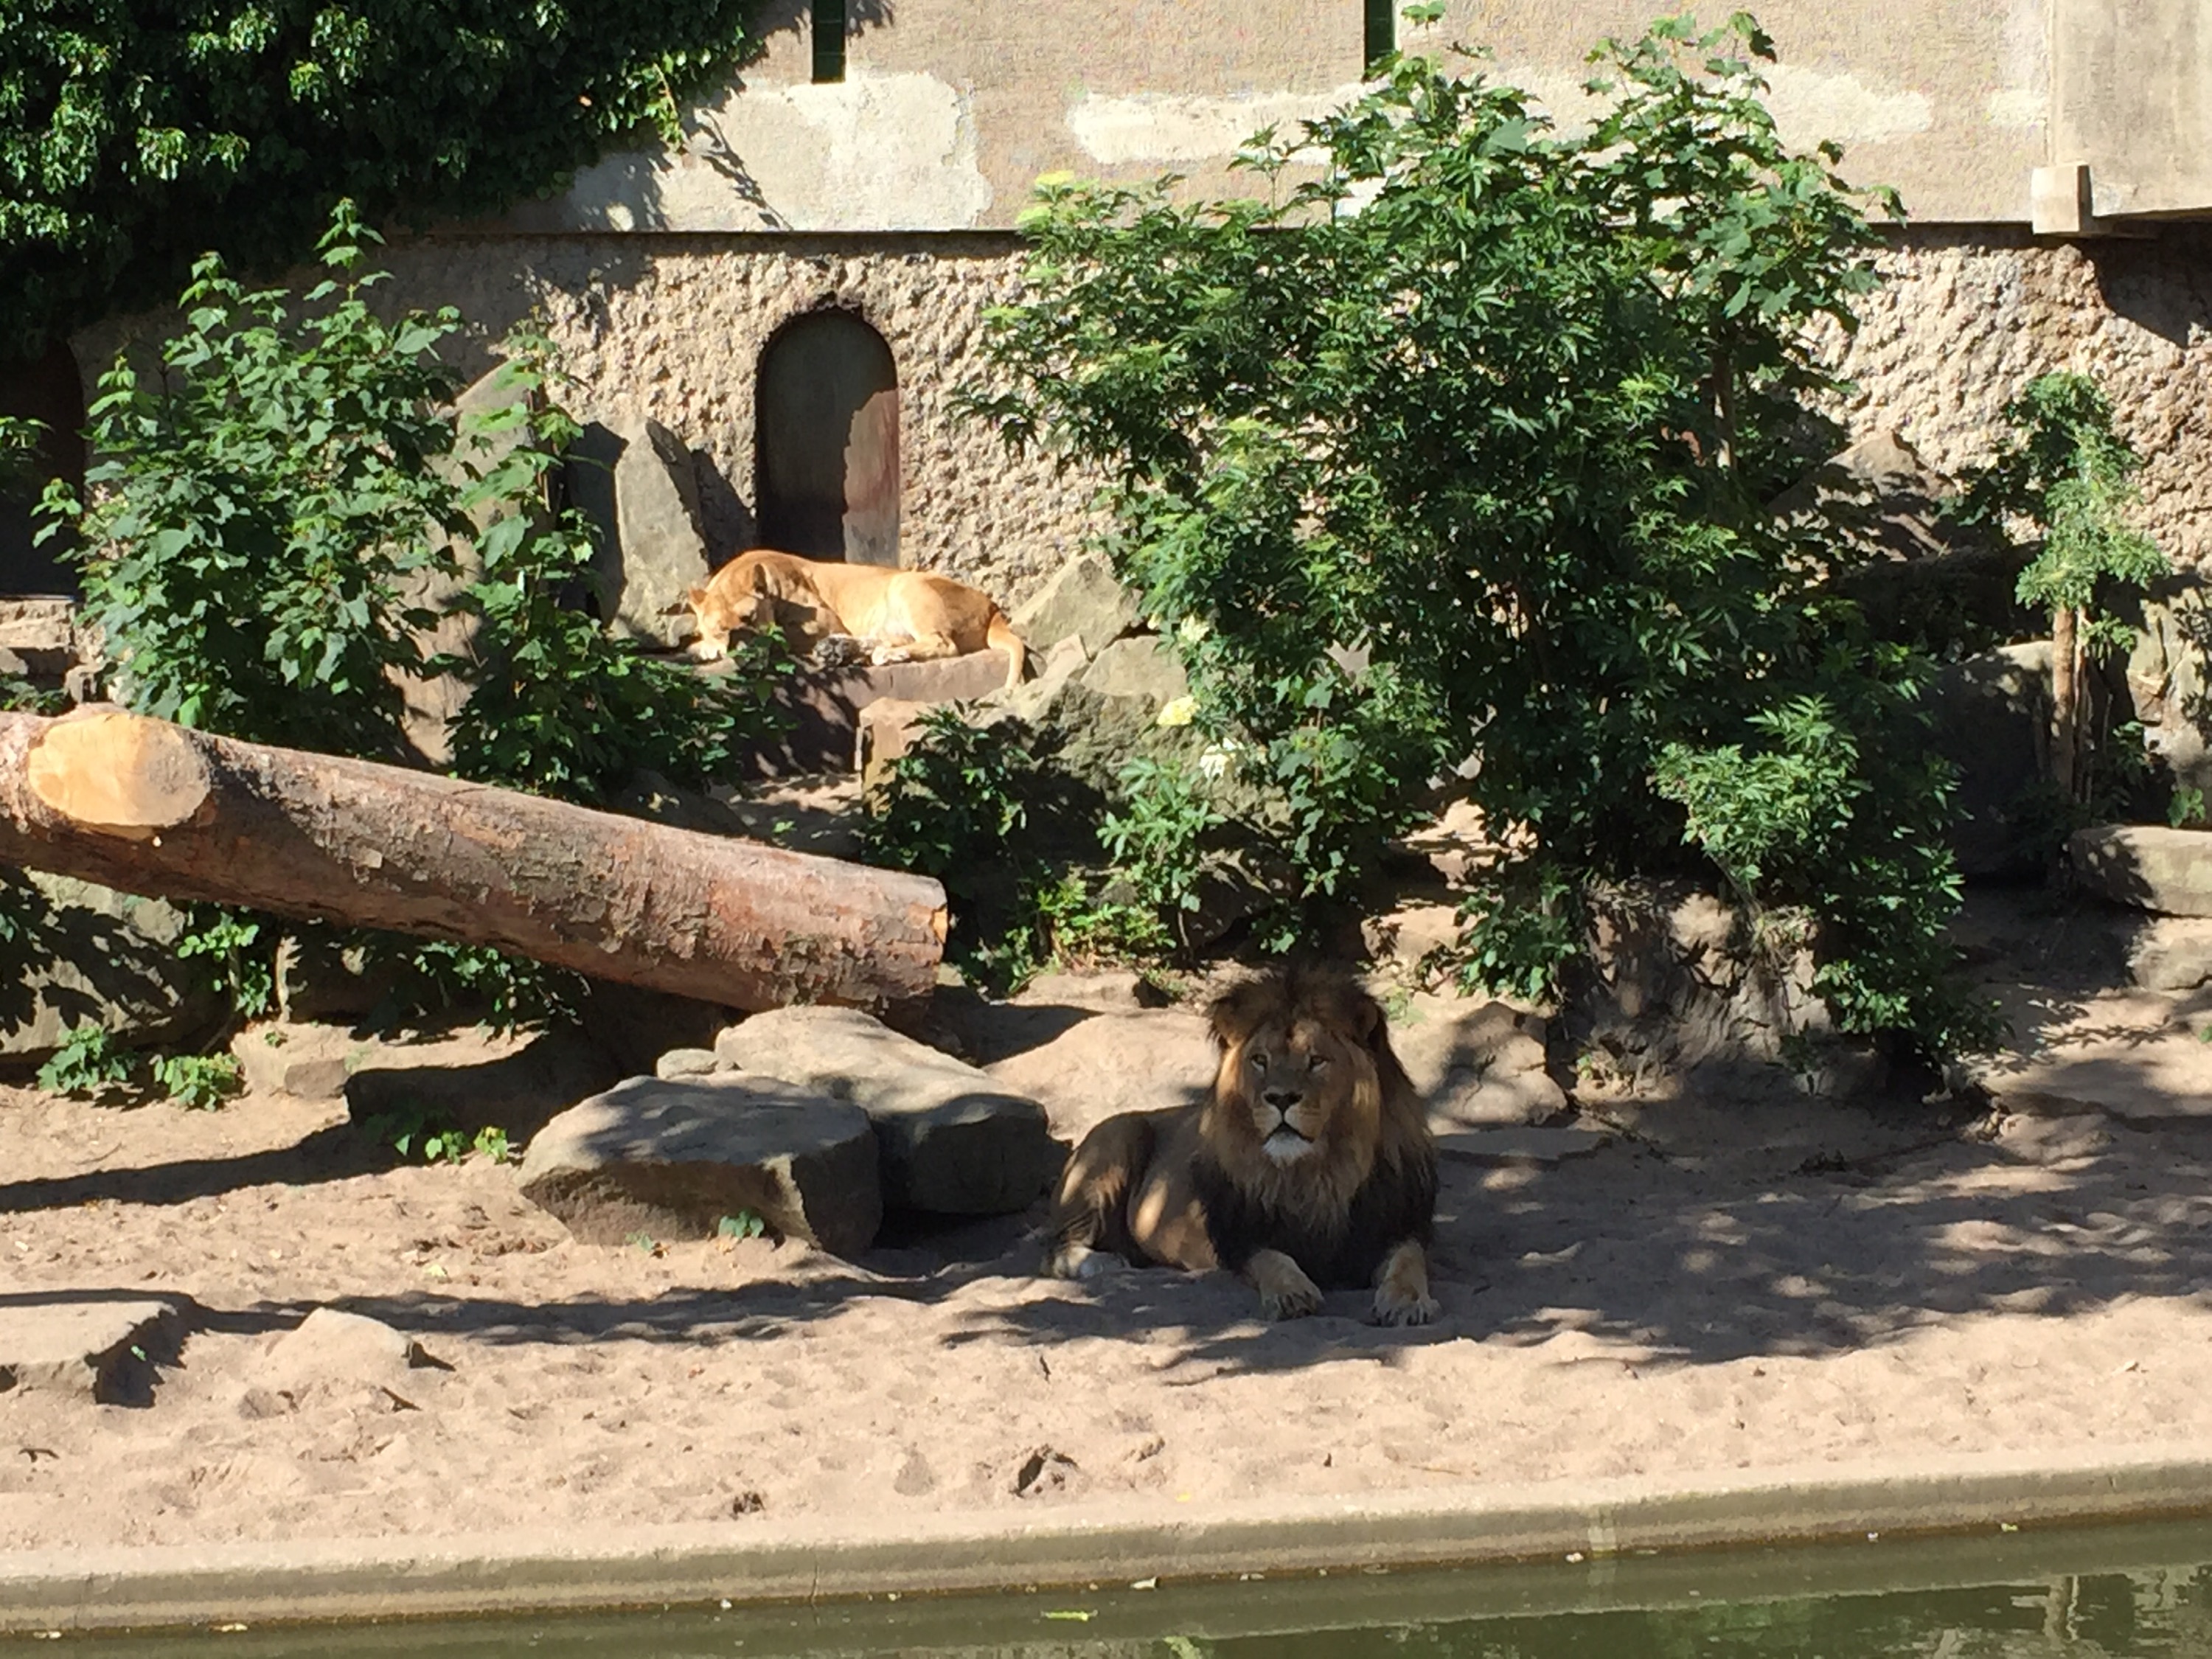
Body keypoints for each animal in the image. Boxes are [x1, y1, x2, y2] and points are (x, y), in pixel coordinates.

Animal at [685, 550, 1026, 692]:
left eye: (750, 618)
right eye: (720, 629)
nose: (740, 647)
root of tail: (993, 608)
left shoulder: (824, 622)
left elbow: (782, 636)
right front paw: (702, 648)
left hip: (907, 584)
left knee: (943, 644)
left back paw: (880, 654)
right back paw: (842, 652)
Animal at [1042, 965, 1441, 1326]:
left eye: (1316, 1061)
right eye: (1260, 1060)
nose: (1281, 1098)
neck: (1319, 1172)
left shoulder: (1397, 1228)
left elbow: (1410, 1261)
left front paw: (1406, 1302)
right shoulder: (1241, 1239)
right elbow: (1272, 1260)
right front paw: (1291, 1294)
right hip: (1117, 1137)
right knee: (1059, 1250)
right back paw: (1106, 1262)